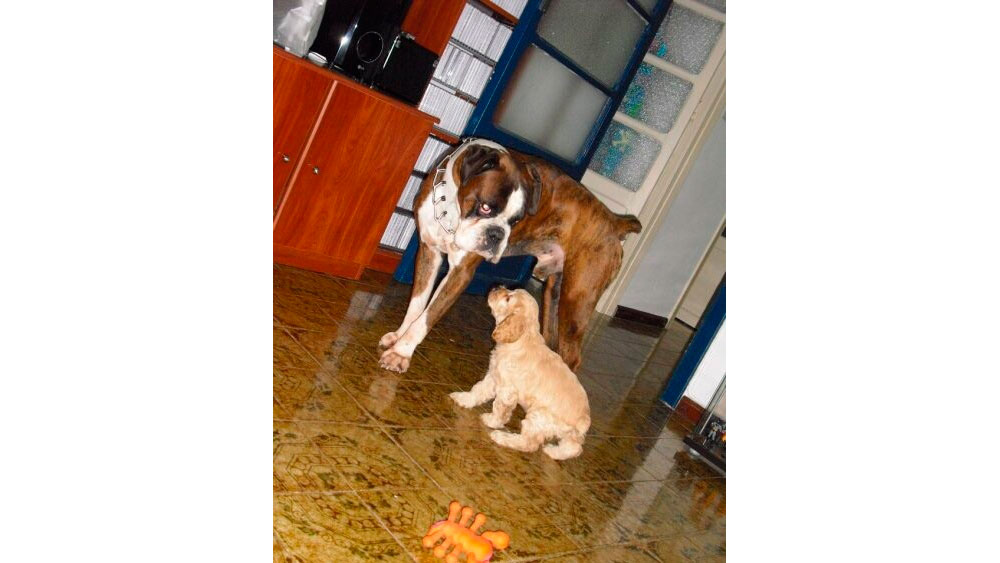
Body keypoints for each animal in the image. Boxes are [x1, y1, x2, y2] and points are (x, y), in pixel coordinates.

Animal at [379, 138, 642, 373]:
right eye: (486, 207)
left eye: (516, 221)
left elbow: (428, 316)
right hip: (555, 294)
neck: (452, 209)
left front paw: (401, 354)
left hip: (576, 301)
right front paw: (399, 337)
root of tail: (615, 221)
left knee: (573, 357)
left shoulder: (460, 273)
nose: (496, 234)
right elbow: (417, 303)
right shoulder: (429, 253)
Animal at [450, 288, 590, 460]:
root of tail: (584, 420)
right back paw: (553, 451)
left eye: (508, 298)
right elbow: (478, 390)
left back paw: (502, 437)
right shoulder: (494, 376)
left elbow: (499, 408)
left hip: (537, 417)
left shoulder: (507, 390)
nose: (495, 288)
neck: (523, 338)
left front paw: (492, 421)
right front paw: (463, 399)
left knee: (530, 443)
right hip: (567, 433)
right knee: (573, 448)